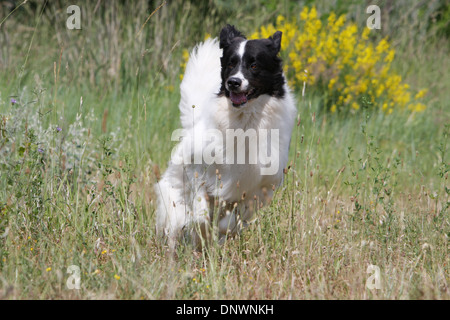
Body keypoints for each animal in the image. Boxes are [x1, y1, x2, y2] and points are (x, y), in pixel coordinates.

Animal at [156, 25, 298, 249]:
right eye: (230, 63)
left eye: (254, 65)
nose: (233, 82)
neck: (244, 119)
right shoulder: (197, 169)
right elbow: (200, 213)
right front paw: (202, 229)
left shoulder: (258, 188)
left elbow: (232, 221)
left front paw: (218, 231)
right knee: (175, 227)